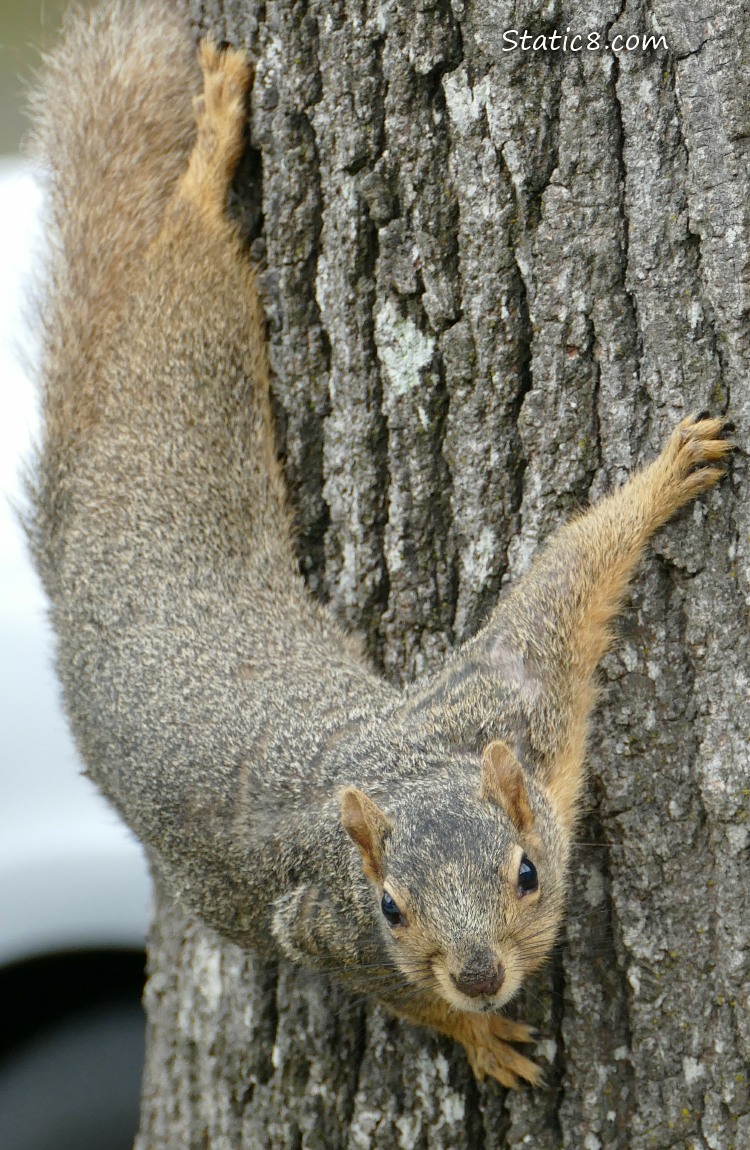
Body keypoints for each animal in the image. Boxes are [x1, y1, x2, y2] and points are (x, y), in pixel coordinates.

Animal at [27, 0, 731, 1090]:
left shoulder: (523, 704)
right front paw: (476, 1035)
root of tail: (77, 560)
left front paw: (660, 476)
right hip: (191, 365)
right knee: (184, 239)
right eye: (392, 907)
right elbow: (391, 988)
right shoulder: (327, 917)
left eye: (528, 872)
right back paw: (215, 140)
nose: (481, 975)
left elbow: (570, 575)